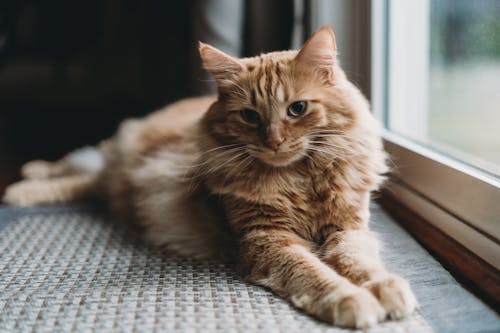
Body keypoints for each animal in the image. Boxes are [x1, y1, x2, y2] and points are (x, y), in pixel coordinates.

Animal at [2, 26, 418, 326]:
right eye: (250, 116)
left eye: (297, 109)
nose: (274, 142)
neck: (298, 179)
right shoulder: (266, 240)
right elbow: (315, 273)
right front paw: (350, 299)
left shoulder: (347, 228)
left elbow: (358, 263)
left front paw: (385, 288)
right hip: (115, 151)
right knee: (79, 166)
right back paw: (24, 184)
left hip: (111, 175)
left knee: (88, 180)